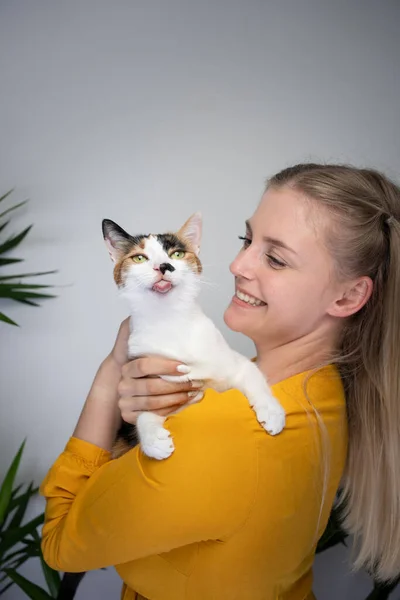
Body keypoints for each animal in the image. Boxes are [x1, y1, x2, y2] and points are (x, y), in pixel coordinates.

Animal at [102, 212, 284, 460]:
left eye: (177, 254)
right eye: (139, 258)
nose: (164, 266)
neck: (171, 319)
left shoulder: (232, 362)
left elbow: (252, 373)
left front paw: (272, 411)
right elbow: (143, 413)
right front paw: (152, 439)